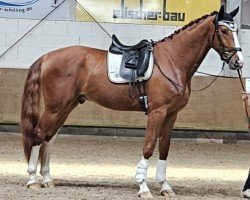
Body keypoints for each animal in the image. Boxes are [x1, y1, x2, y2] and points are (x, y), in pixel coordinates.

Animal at [20, 6, 243, 198]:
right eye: (224, 30)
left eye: (236, 30)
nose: (238, 62)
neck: (172, 61)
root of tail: (48, 56)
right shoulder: (157, 112)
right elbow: (149, 147)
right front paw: (143, 187)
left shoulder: (172, 114)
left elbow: (164, 148)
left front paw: (165, 187)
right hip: (55, 107)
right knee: (38, 134)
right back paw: (32, 180)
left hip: (66, 106)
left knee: (48, 138)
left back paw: (47, 179)